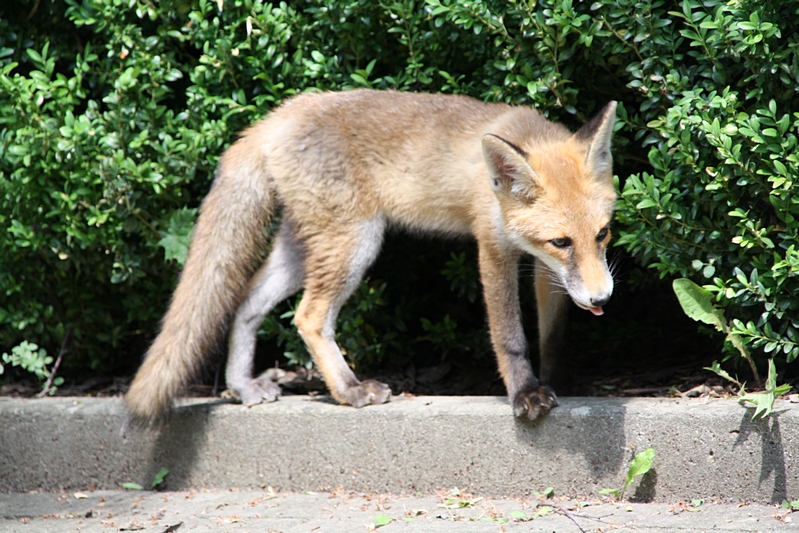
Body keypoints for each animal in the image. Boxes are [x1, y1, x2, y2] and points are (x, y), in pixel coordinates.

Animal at [128, 90, 620, 424]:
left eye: (602, 234)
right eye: (562, 241)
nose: (602, 300)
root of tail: (276, 117)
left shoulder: (543, 267)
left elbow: (553, 334)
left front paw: (559, 381)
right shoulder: (494, 249)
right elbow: (510, 337)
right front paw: (526, 394)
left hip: (303, 251)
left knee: (246, 302)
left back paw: (242, 386)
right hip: (355, 244)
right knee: (307, 317)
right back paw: (349, 391)